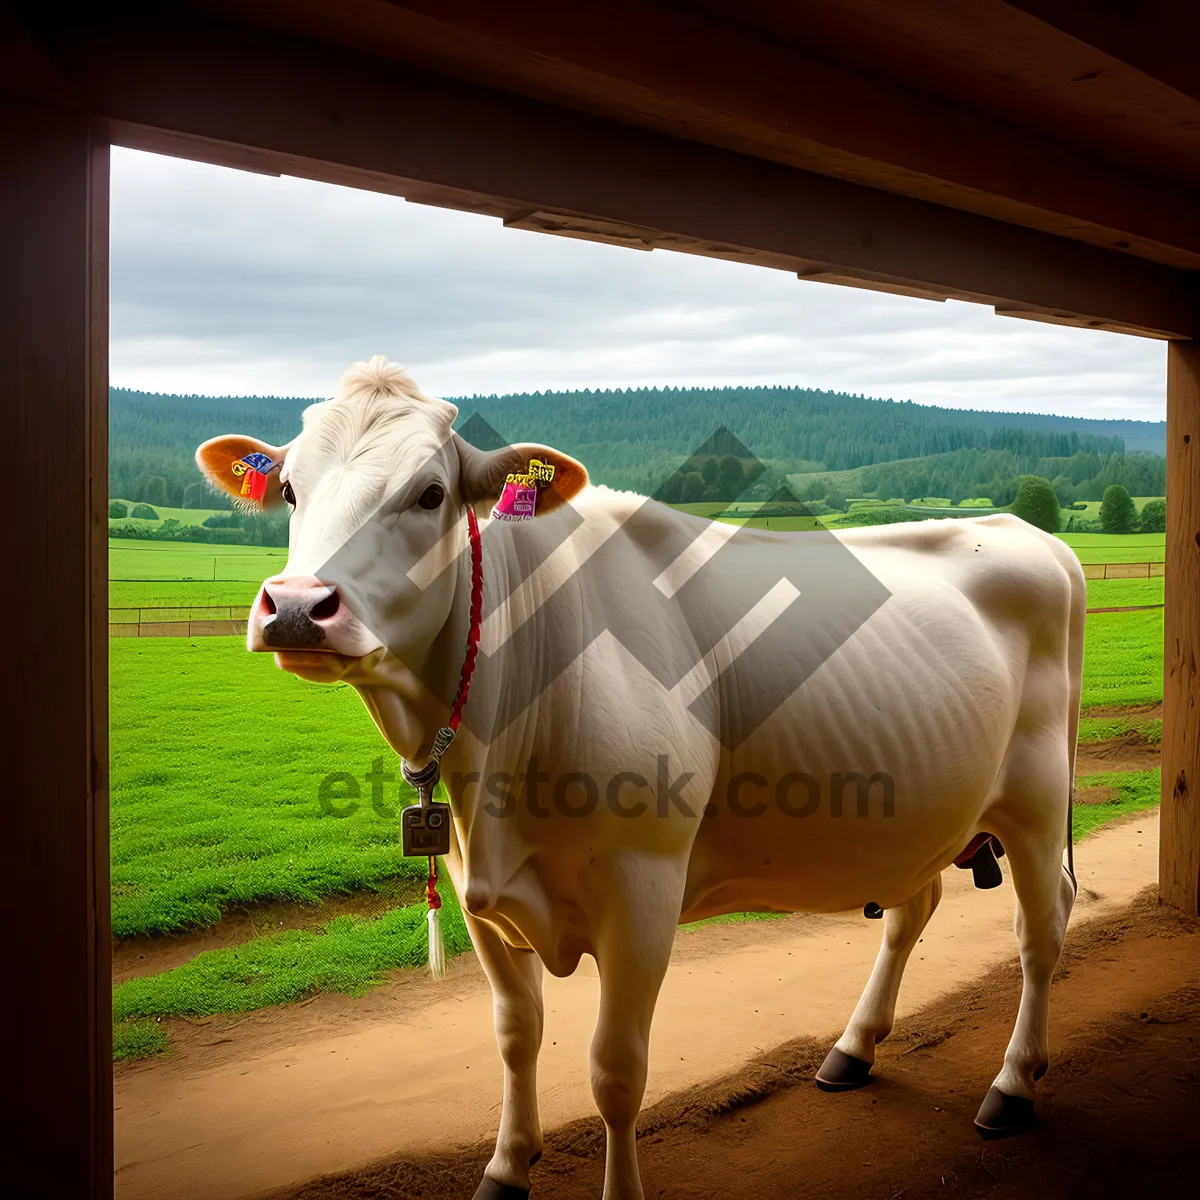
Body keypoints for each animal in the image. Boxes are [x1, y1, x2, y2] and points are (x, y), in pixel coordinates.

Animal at [201, 355, 1084, 1200]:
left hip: (1039, 797)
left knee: (1042, 927)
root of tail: (1025, 531)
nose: (295, 606)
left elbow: (616, 1074)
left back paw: (1011, 1086)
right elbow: (515, 1037)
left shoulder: (643, 891)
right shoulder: (473, 891)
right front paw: (506, 1166)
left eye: (430, 493)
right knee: (914, 908)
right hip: (923, 809)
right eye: (289, 488)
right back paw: (854, 1048)